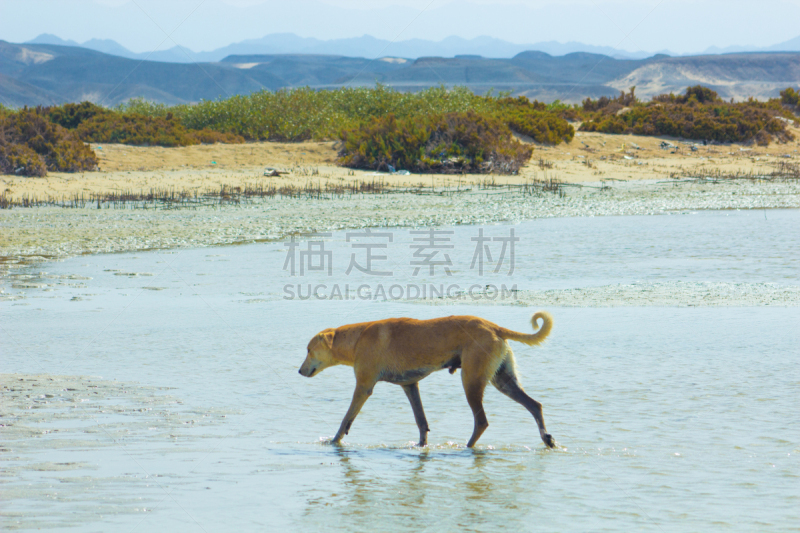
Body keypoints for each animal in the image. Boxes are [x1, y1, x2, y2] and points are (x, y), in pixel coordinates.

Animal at [296, 310, 552, 446]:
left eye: (308, 350)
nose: (299, 371)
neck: (358, 339)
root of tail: (495, 327)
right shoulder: (410, 385)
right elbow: (421, 421)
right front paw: (421, 446)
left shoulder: (363, 387)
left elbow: (346, 419)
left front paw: (334, 441)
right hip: (503, 380)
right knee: (535, 406)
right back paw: (547, 439)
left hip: (471, 381)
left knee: (481, 421)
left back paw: (467, 447)